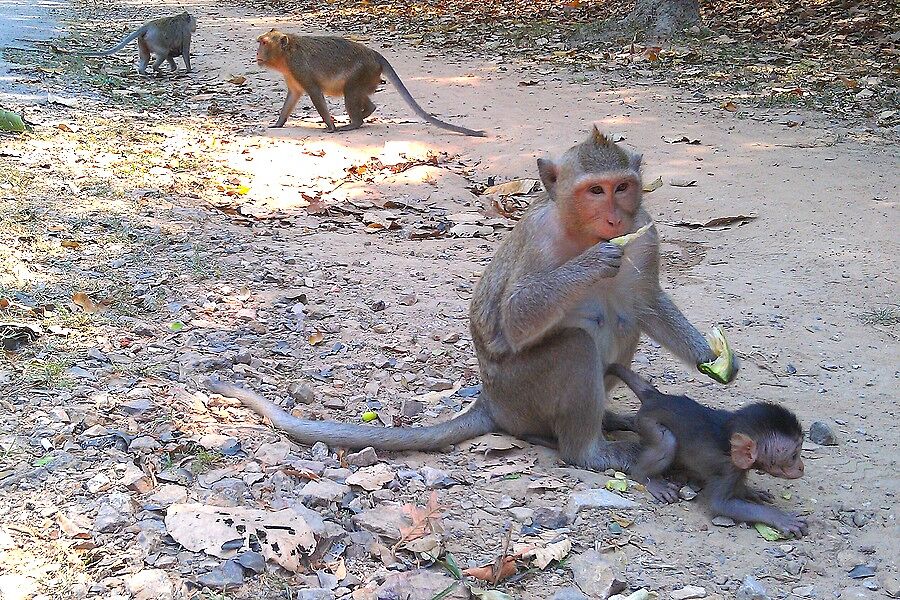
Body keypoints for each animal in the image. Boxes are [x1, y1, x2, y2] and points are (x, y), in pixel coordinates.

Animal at [206, 130, 732, 474]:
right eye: (594, 190)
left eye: (622, 187)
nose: (613, 216)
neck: (583, 233)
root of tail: (490, 400)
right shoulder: (540, 240)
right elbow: (514, 317)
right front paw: (590, 265)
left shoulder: (644, 232)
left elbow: (644, 302)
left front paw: (710, 357)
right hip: (519, 391)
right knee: (576, 345)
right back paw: (589, 450)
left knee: (622, 320)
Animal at [255, 31, 486, 138]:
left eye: (264, 43)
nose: (257, 53)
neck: (287, 55)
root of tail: (376, 55)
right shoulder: (292, 76)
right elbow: (293, 95)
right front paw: (278, 123)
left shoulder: (299, 68)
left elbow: (314, 92)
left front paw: (331, 126)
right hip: (370, 76)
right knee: (359, 94)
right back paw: (367, 112)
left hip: (363, 70)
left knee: (349, 90)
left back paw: (354, 122)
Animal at [604, 364, 808, 536]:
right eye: (793, 455)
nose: (801, 467)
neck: (729, 438)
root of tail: (657, 397)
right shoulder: (728, 469)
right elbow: (721, 505)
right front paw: (780, 518)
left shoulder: (739, 468)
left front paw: (750, 492)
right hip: (646, 422)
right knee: (667, 442)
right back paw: (648, 479)